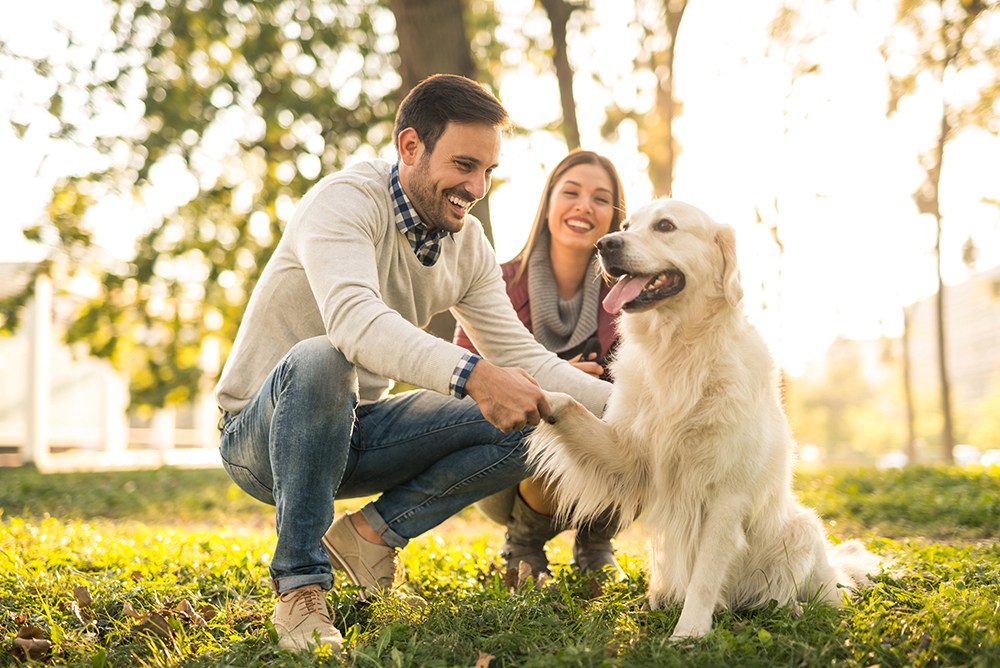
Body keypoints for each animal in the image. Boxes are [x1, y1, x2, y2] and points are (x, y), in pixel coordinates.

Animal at [528, 200, 880, 640]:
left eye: (665, 226)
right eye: (625, 226)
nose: (604, 244)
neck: (680, 350)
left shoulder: (726, 495)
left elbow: (705, 575)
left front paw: (689, 632)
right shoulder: (629, 456)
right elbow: (569, 405)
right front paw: (523, 390)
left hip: (802, 530)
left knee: (811, 596)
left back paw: (794, 610)